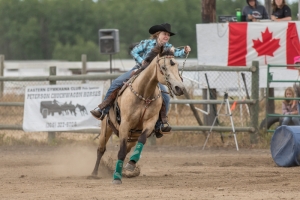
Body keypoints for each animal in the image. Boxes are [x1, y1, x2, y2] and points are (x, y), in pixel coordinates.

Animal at [89, 45, 185, 184]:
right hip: (106, 128)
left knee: (128, 148)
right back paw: (94, 173)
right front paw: (116, 177)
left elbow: (142, 140)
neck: (144, 94)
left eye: (177, 65)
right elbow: (121, 151)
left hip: (133, 136)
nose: (180, 88)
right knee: (101, 149)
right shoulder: (125, 124)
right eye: (163, 67)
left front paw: (131, 164)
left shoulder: (149, 123)